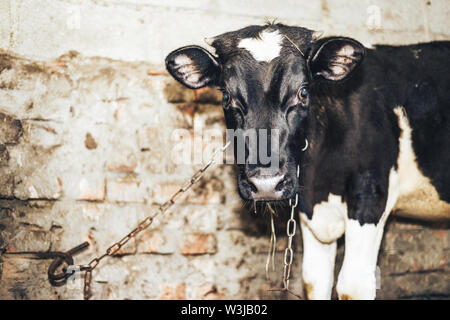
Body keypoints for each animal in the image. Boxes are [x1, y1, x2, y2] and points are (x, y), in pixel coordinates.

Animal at [165, 23, 450, 300]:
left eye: (303, 92)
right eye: (226, 96)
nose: (266, 184)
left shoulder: (371, 195)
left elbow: (353, 285)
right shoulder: (308, 209)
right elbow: (315, 280)